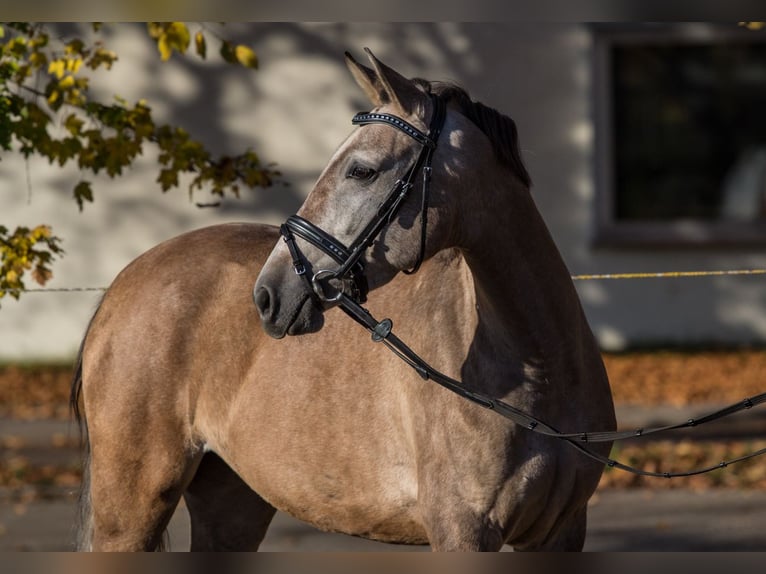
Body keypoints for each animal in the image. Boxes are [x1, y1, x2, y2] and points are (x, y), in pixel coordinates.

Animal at [70, 49, 616, 552]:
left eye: (361, 170)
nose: (269, 294)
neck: (538, 369)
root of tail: (123, 284)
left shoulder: (562, 532)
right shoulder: (461, 531)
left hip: (231, 504)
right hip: (132, 510)